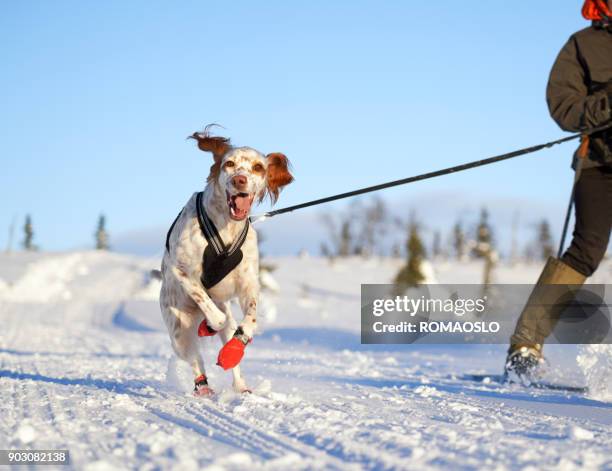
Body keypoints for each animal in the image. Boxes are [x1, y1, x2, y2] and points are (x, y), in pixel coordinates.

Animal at [160, 125, 294, 394]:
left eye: (258, 167)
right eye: (229, 164)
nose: (239, 180)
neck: (227, 226)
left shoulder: (248, 283)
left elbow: (250, 320)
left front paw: (235, 347)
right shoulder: (181, 270)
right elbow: (211, 310)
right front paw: (211, 324)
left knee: (229, 345)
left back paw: (240, 386)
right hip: (179, 330)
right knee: (195, 358)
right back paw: (203, 386)